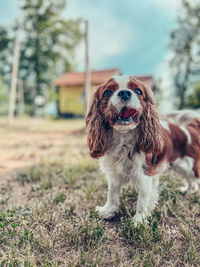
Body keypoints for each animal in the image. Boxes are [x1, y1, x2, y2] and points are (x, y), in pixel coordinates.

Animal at [85, 75, 200, 224]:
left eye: (138, 91)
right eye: (107, 93)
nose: (124, 93)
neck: (123, 138)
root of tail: (190, 129)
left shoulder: (144, 174)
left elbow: (143, 200)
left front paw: (138, 221)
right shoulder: (114, 173)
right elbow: (112, 194)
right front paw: (108, 211)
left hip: (191, 167)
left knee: (194, 179)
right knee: (192, 182)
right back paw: (188, 190)